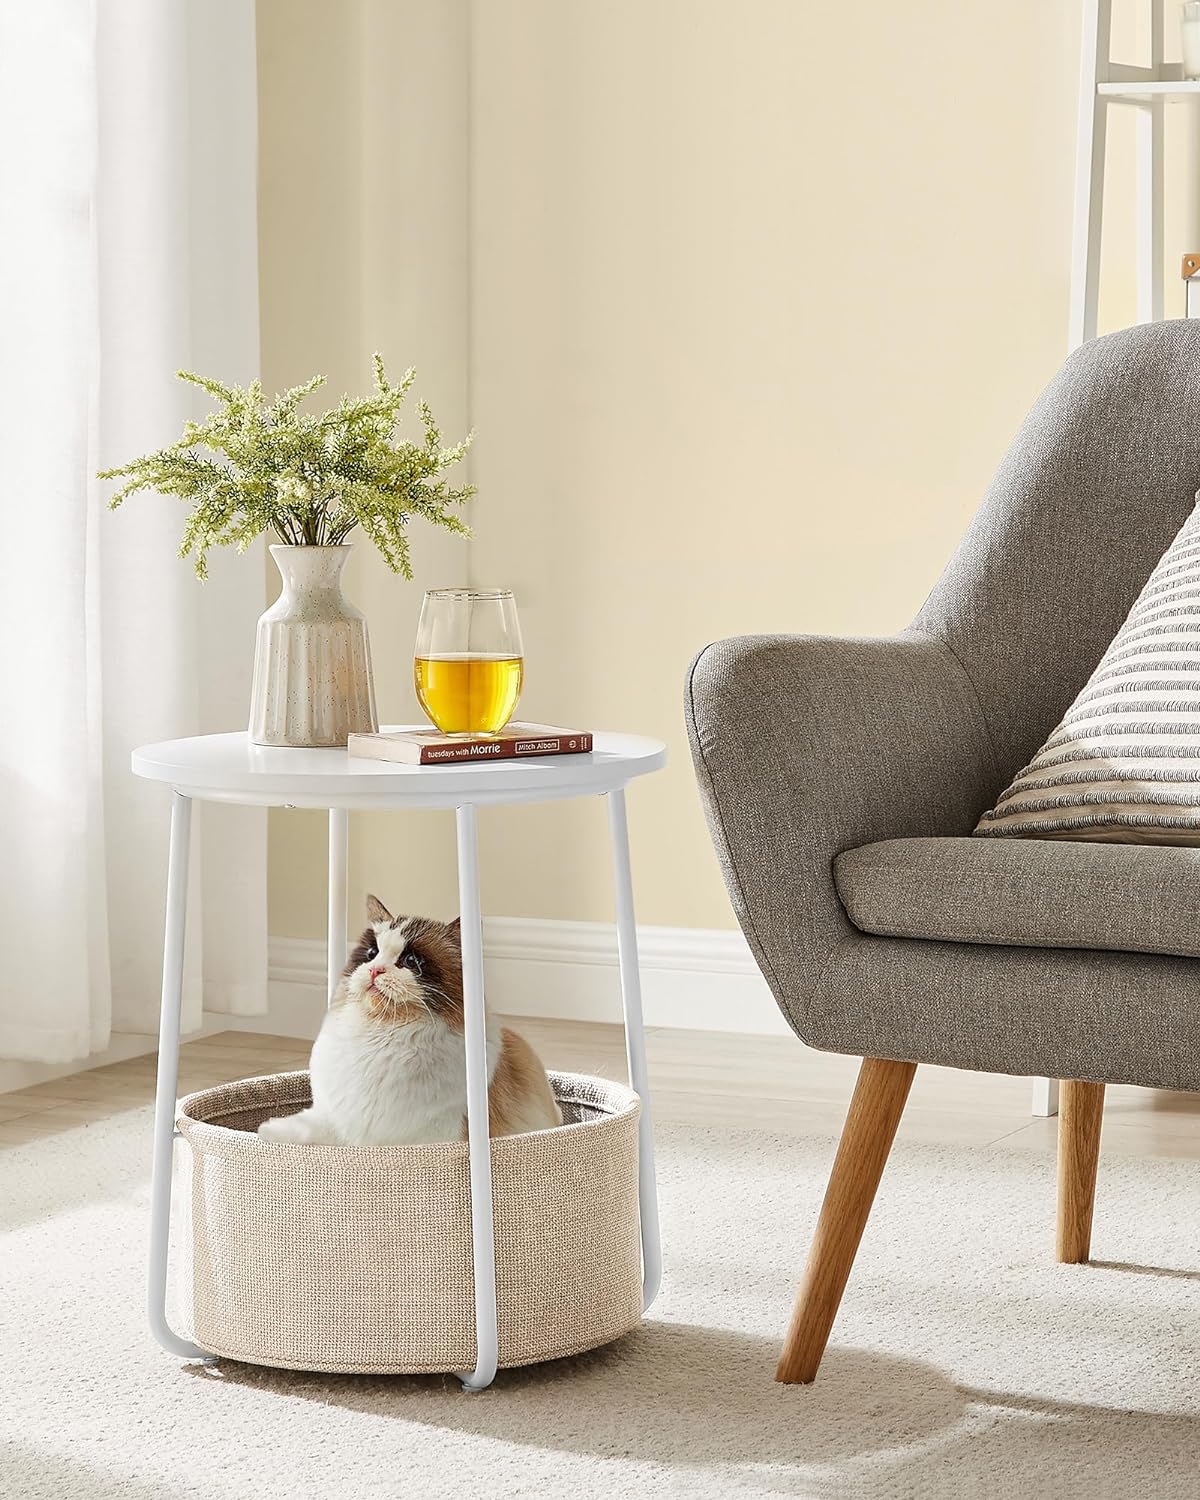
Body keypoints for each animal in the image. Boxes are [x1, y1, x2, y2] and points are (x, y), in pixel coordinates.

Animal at [256, 888, 564, 1146]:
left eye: (411, 961)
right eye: (371, 953)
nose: (375, 970)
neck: (381, 1037)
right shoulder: (337, 1120)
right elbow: (303, 1129)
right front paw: (264, 1132)